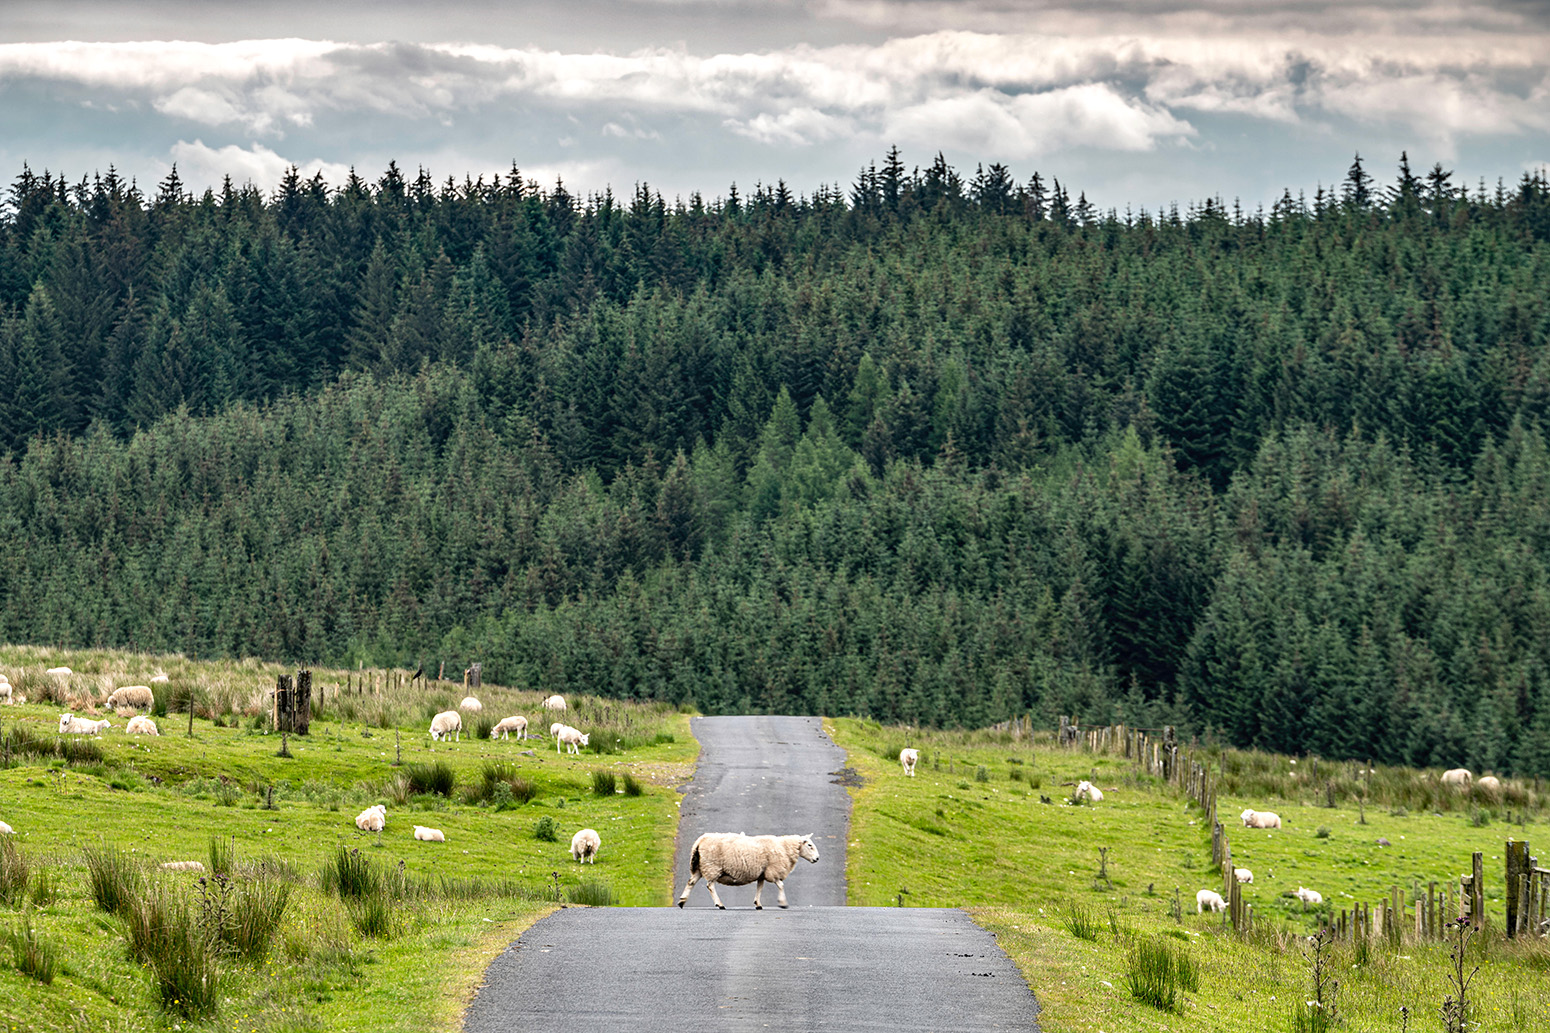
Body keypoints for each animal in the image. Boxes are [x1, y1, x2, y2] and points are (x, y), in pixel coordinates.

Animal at [678, 831, 824, 912]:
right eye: (809, 845)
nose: (817, 858)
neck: (785, 848)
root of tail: (700, 841)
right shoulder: (773, 871)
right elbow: (781, 885)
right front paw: (783, 903)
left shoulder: (762, 873)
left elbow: (760, 888)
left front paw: (758, 904)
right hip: (712, 866)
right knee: (710, 885)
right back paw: (719, 904)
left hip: (700, 867)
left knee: (691, 882)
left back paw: (682, 902)